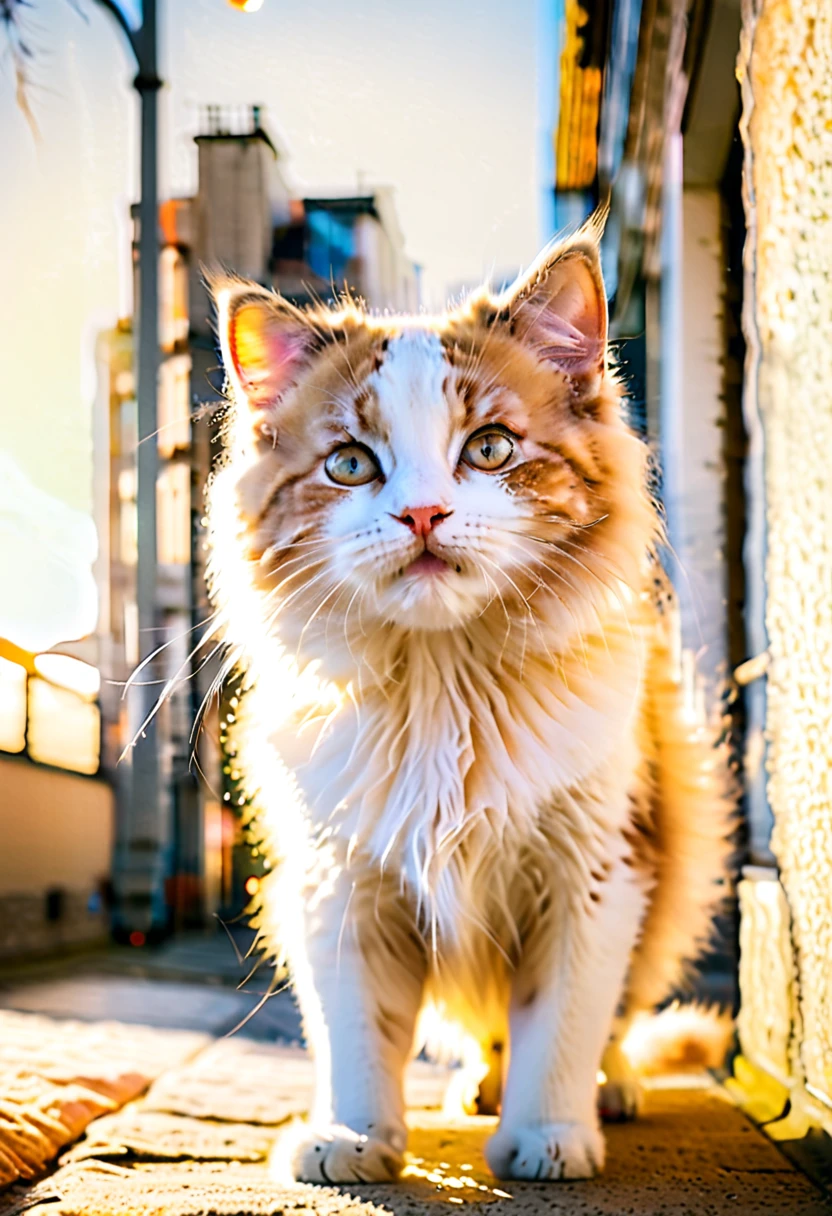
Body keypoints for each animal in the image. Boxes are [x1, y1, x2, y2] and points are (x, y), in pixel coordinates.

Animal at [204, 216, 729, 1177]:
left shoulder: (593, 876)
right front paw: (352, 1137)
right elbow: (358, 1032)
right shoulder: (339, 882)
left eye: (489, 448)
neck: (445, 686)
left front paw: (548, 1134)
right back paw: (478, 1089)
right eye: (349, 464)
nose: (422, 515)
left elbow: (560, 1025)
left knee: (611, 1027)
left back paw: (609, 1092)